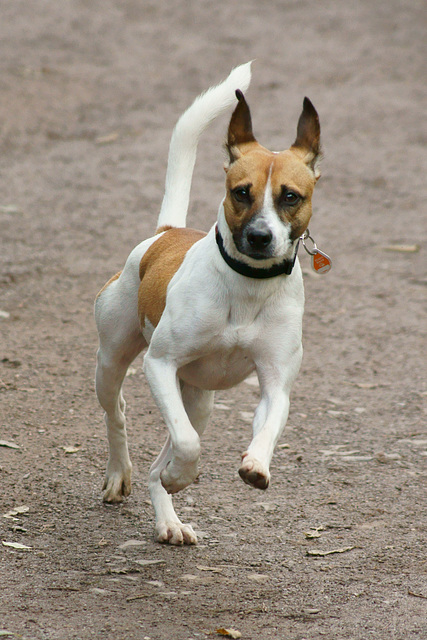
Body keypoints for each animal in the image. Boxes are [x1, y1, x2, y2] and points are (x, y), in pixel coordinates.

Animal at [93, 62, 320, 544]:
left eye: (291, 196)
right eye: (241, 192)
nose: (260, 237)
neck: (247, 285)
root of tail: (166, 233)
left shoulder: (276, 383)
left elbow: (267, 428)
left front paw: (255, 467)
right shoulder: (159, 365)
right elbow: (186, 444)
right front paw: (181, 475)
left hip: (198, 402)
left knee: (159, 462)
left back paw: (169, 519)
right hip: (113, 359)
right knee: (118, 413)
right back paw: (122, 474)